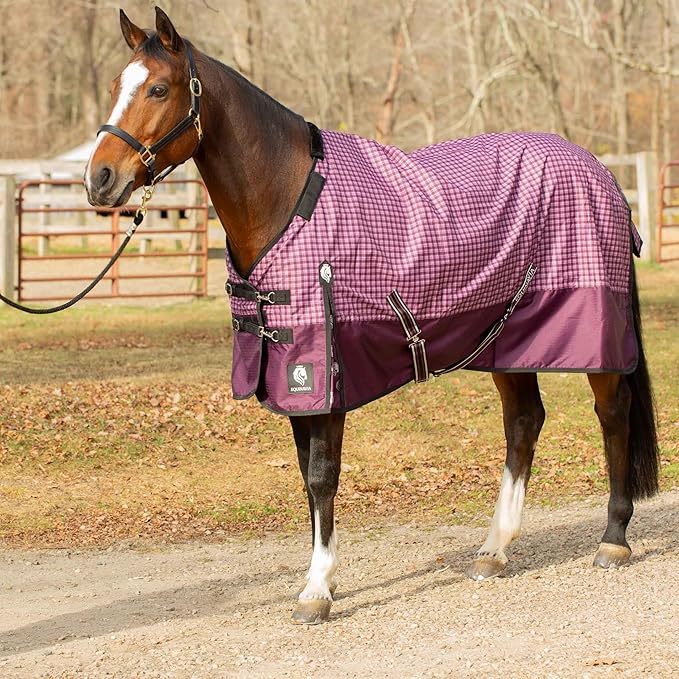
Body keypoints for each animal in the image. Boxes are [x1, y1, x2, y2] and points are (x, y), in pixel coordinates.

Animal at [85, 8, 659, 625]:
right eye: (117, 85)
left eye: (159, 89)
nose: (99, 179)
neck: (290, 199)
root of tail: (602, 173)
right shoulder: (293, 381)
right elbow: (307, 477)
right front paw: (321, 578)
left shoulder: (325, 376)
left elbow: (322, 475)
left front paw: (317, 590)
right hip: (507, 340)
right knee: (524, 422)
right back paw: (495, 550)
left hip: (596, 342)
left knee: (613, 415)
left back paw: (613, 539)